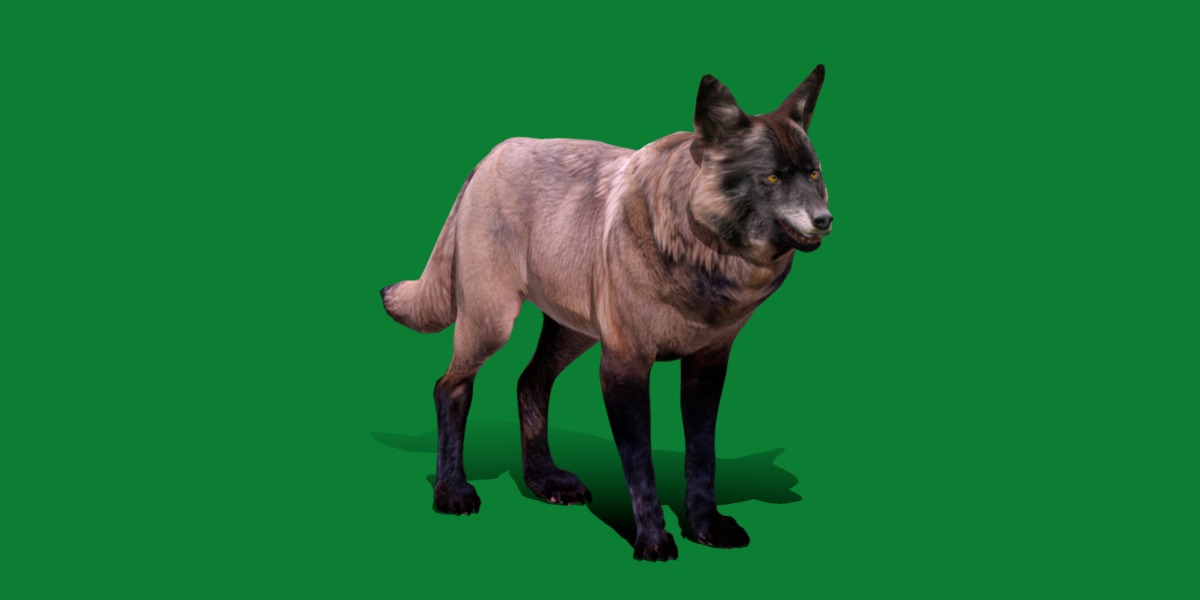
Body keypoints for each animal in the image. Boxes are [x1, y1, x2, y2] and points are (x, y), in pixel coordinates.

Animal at [380, 65, 833, 561]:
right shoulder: (623, 365)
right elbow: (640, 464)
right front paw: (653, 540)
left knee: (529, 383)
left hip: (572, 334)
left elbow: (702, 456)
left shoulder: (707, 365)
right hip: (492, 323)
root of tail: (491, 155)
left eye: (813, 173)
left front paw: (705, 527)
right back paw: (452, 492)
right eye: (771, 179)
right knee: (450, 387)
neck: (698, 258)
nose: (826, 219)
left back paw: (544, 481)